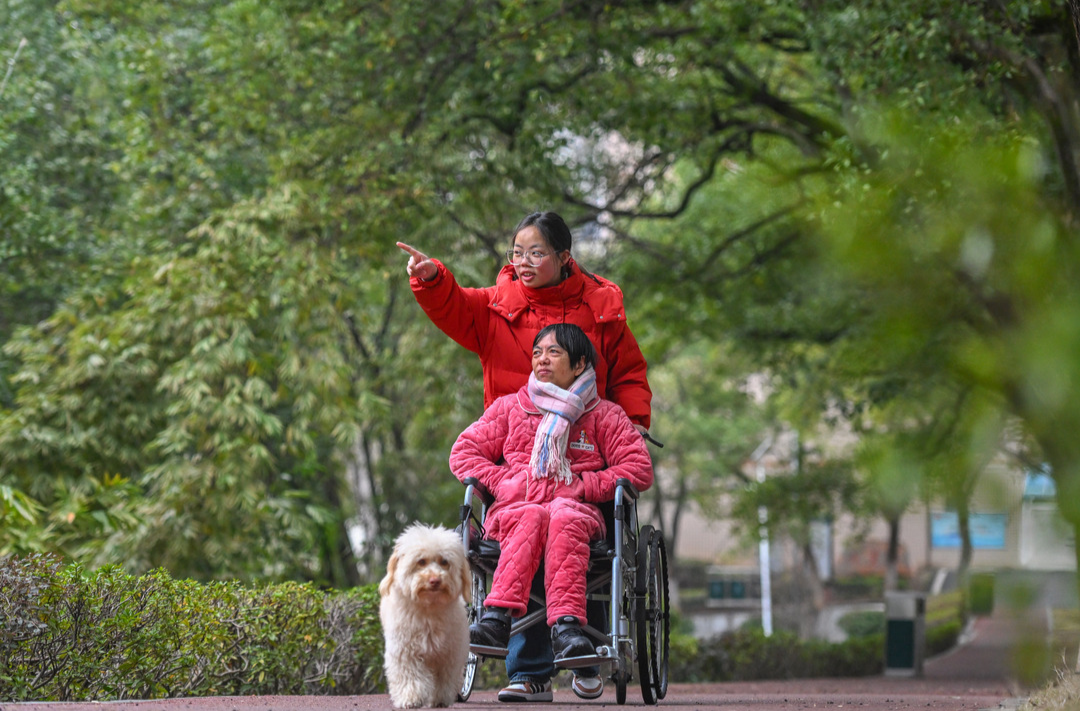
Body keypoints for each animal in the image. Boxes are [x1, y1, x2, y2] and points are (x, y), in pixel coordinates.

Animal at [380, 518, 473, 704]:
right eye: (421, 561)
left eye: (444, 562)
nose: (435, 580)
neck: (429, 608)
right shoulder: (404, 652)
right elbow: (409, 676)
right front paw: (410, 698)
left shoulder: (449, 653)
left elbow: (444, 677)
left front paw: (441, 698)